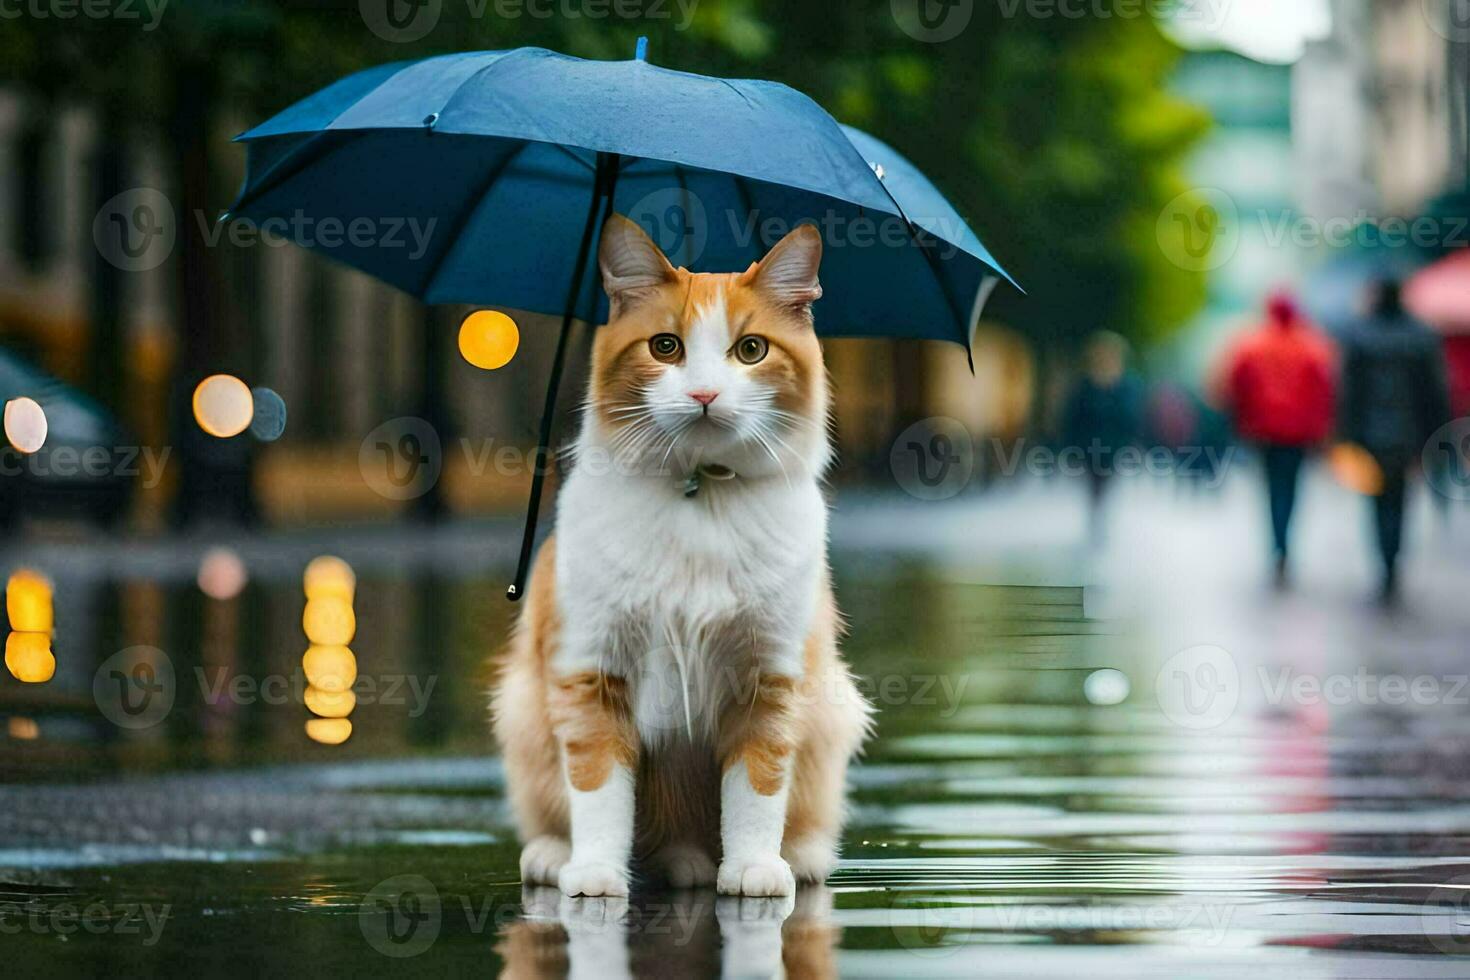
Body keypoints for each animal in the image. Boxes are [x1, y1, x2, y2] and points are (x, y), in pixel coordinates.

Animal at [490, 213, 870, 899]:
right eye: (665, 347)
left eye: (752, 351)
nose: (704, 394)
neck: (701, 494)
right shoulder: (591, 672)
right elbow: (597, 788)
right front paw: (594, 874)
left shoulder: (769, 678)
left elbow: (757, 787)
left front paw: (753, 867)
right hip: (523, 710)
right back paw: (559, 857)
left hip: (832, 712)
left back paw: (783, 859)